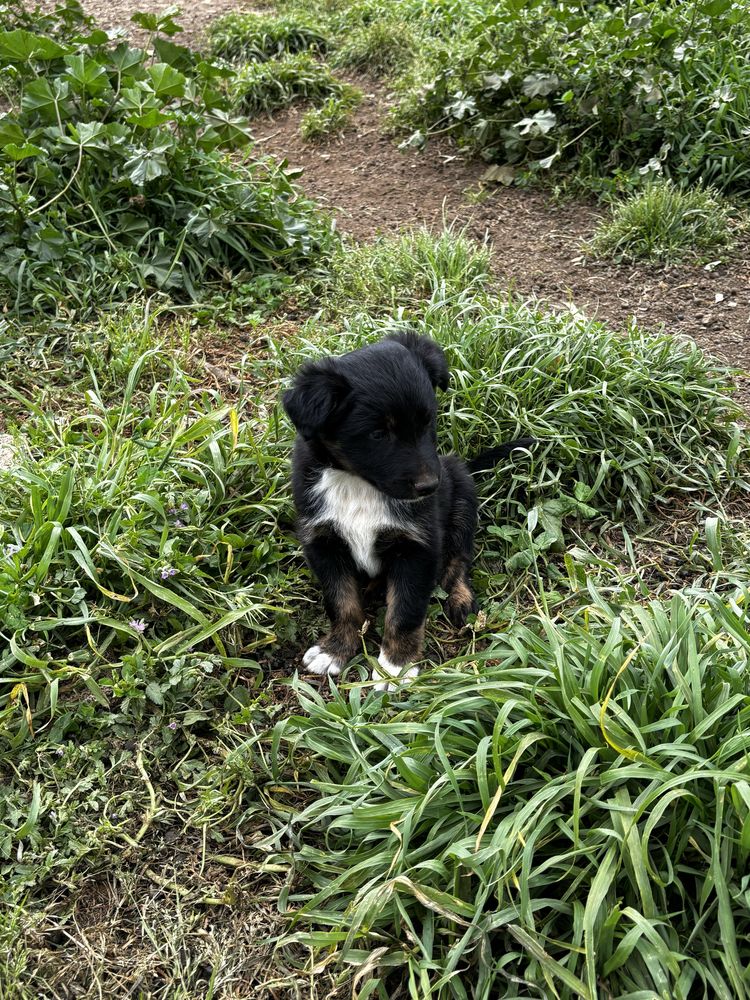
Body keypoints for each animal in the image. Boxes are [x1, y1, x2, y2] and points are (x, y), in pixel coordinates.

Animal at [282, 332, 536, 692]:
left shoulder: (418, 547)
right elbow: (341, 602)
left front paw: (394, 668)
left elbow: (405, 611)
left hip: (462, 496)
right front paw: (335, 650)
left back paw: (461, 601)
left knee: (458, 560)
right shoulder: (323, 541)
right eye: (377, 434)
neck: (359, 484)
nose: (430, 487)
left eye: (428, 422)